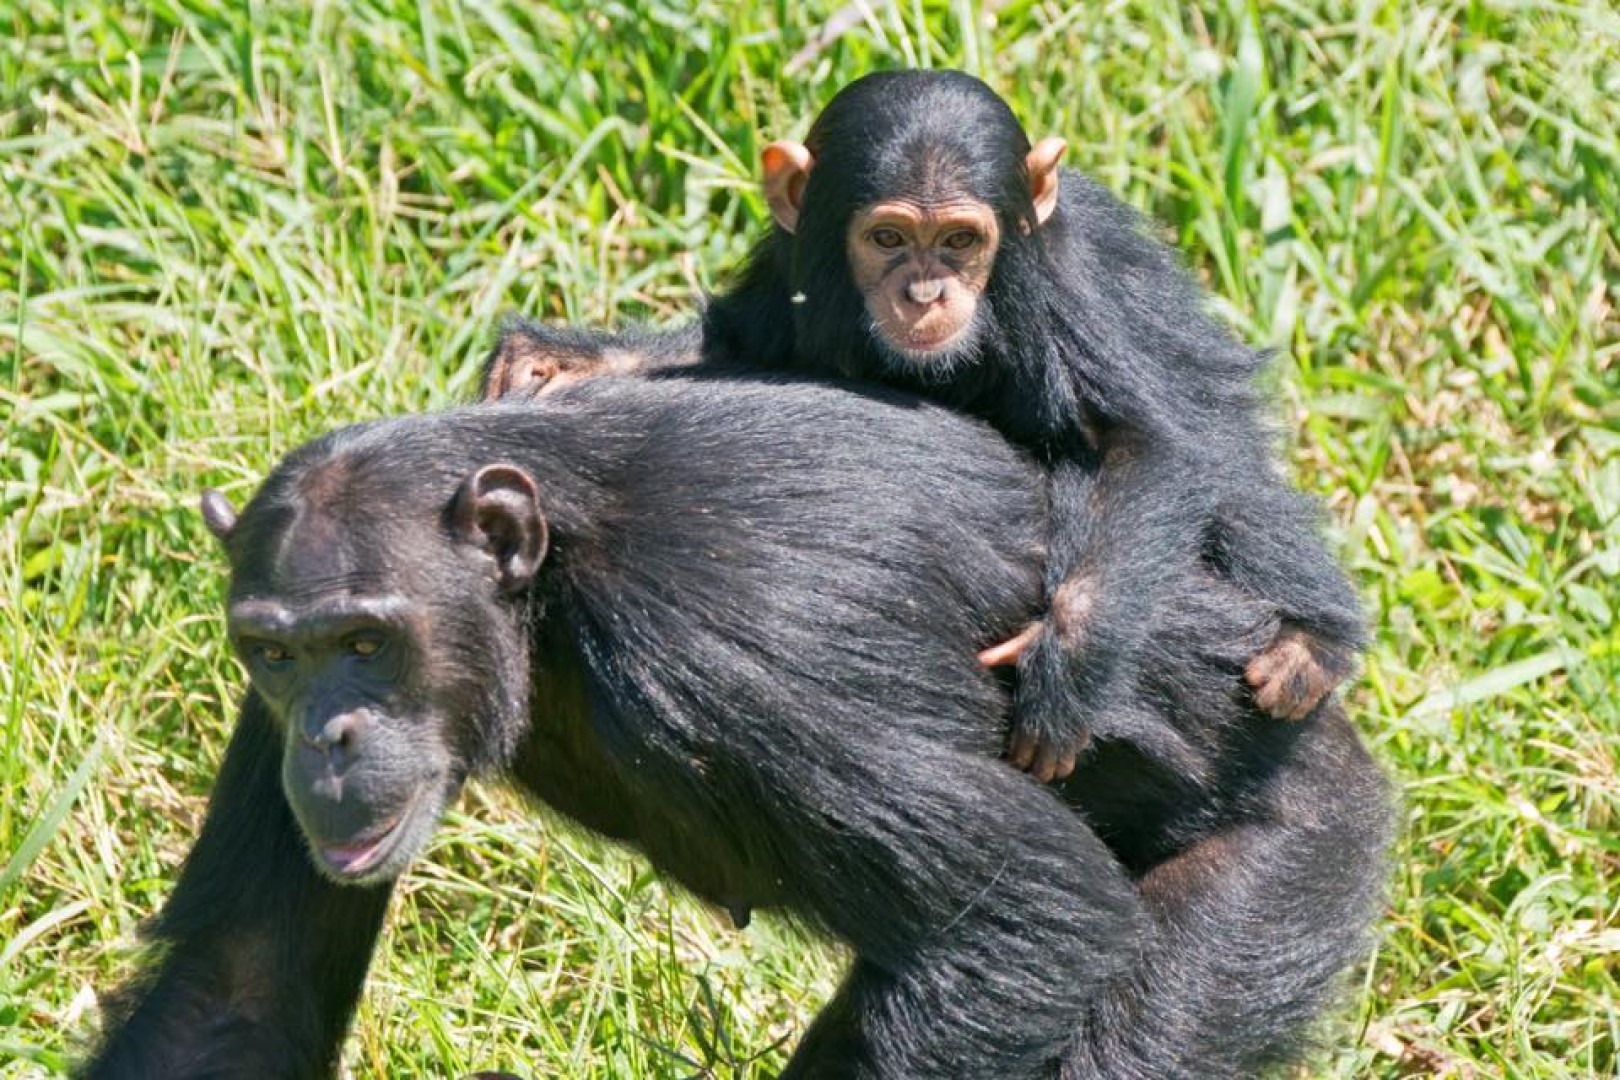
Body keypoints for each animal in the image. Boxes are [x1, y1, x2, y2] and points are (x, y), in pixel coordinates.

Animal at [82, 374, 1386, 1080]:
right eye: (280, 654)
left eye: (366, 642)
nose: (327, 737)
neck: (549, 595)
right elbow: (239, 984)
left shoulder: (725, 653)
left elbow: (1024, 912)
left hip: (1290, 860)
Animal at [489, 71, 1367, 780]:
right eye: (887, 237)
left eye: (959, 240)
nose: (924, 291)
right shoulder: (791, 265)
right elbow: (735, 348)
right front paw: (567, 360)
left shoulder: (1065, 286)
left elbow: (1141, 443)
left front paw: (1066, 668)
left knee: (1230, 470)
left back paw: (1309, 645)